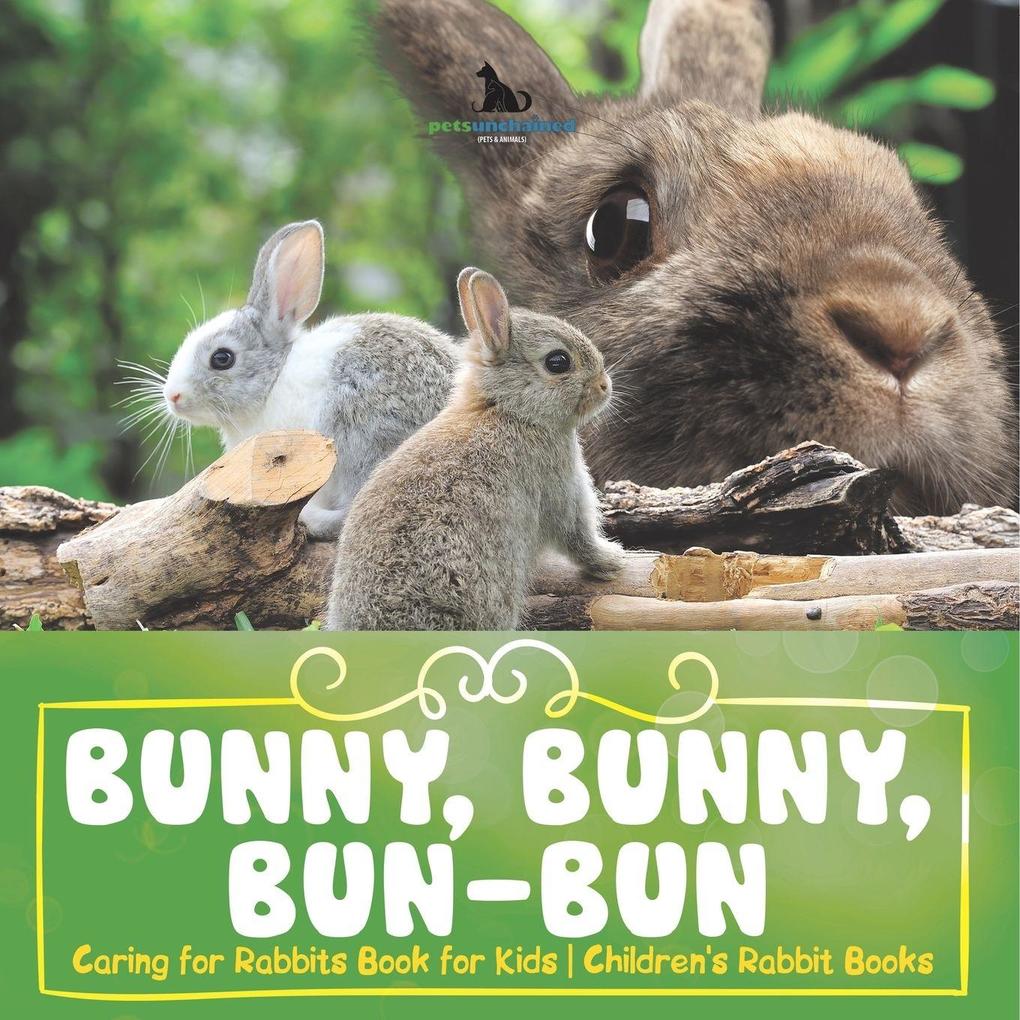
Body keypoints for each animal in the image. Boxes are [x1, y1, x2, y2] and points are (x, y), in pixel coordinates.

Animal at [326, 267, 625, 631]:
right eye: (558, 362)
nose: (604, 386)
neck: (507, 410)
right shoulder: (559, 485)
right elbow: (577, 535)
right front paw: (612, 560)